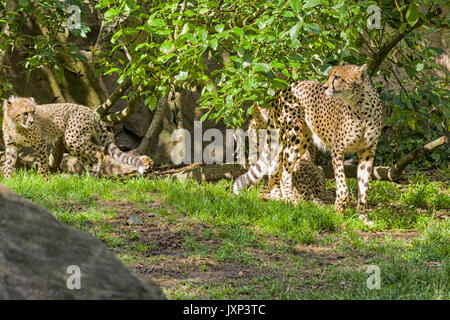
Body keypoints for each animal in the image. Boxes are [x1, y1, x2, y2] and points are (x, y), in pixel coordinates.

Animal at [234, 64, 382, 225]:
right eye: (331, 75)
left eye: (337, 77)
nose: (325, 87)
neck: (360, 106)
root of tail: (284, 88)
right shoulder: (338, 151)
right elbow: (342, 186)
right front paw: (339, 209)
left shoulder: (367, 153)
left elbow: (364, 187)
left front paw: (363, 216)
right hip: (294, 136)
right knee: (285, 174)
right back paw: (291, 202)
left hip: (299, 141)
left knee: (275, 167)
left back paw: (277, 197)